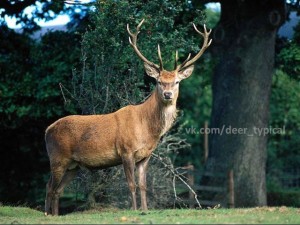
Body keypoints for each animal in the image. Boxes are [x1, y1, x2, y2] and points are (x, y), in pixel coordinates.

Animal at [44, 19, 212, 216]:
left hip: (73, 165)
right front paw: (134, 209)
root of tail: (47, 130)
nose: (168, 94)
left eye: (177, 81)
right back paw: (46, 214)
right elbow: (131, 185)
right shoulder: (126, 150)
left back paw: (54, 215)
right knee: (49, 187)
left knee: (58, 190)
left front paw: (145, 210)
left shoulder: (145, 156)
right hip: (57, 157)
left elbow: (143, 185)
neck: (147, 129)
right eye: (158, 81)